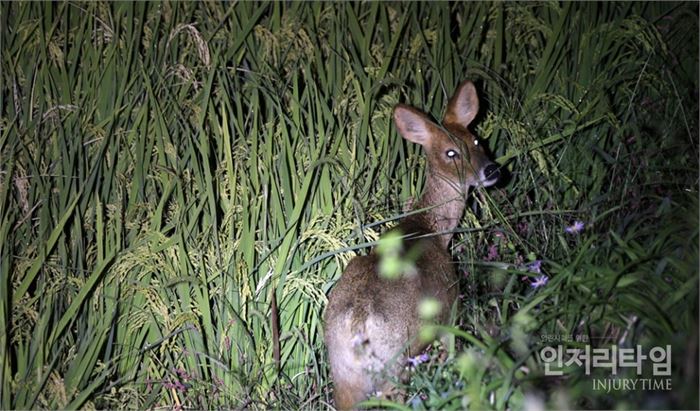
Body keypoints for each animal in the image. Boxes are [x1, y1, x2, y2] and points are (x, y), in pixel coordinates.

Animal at [326, 79, 500, 408]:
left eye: (475, 140)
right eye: (450, 153)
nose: (492, 170)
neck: (431, 228)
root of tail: (357, 325)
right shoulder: (449, 307)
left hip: (344, 378)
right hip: (395, 364)